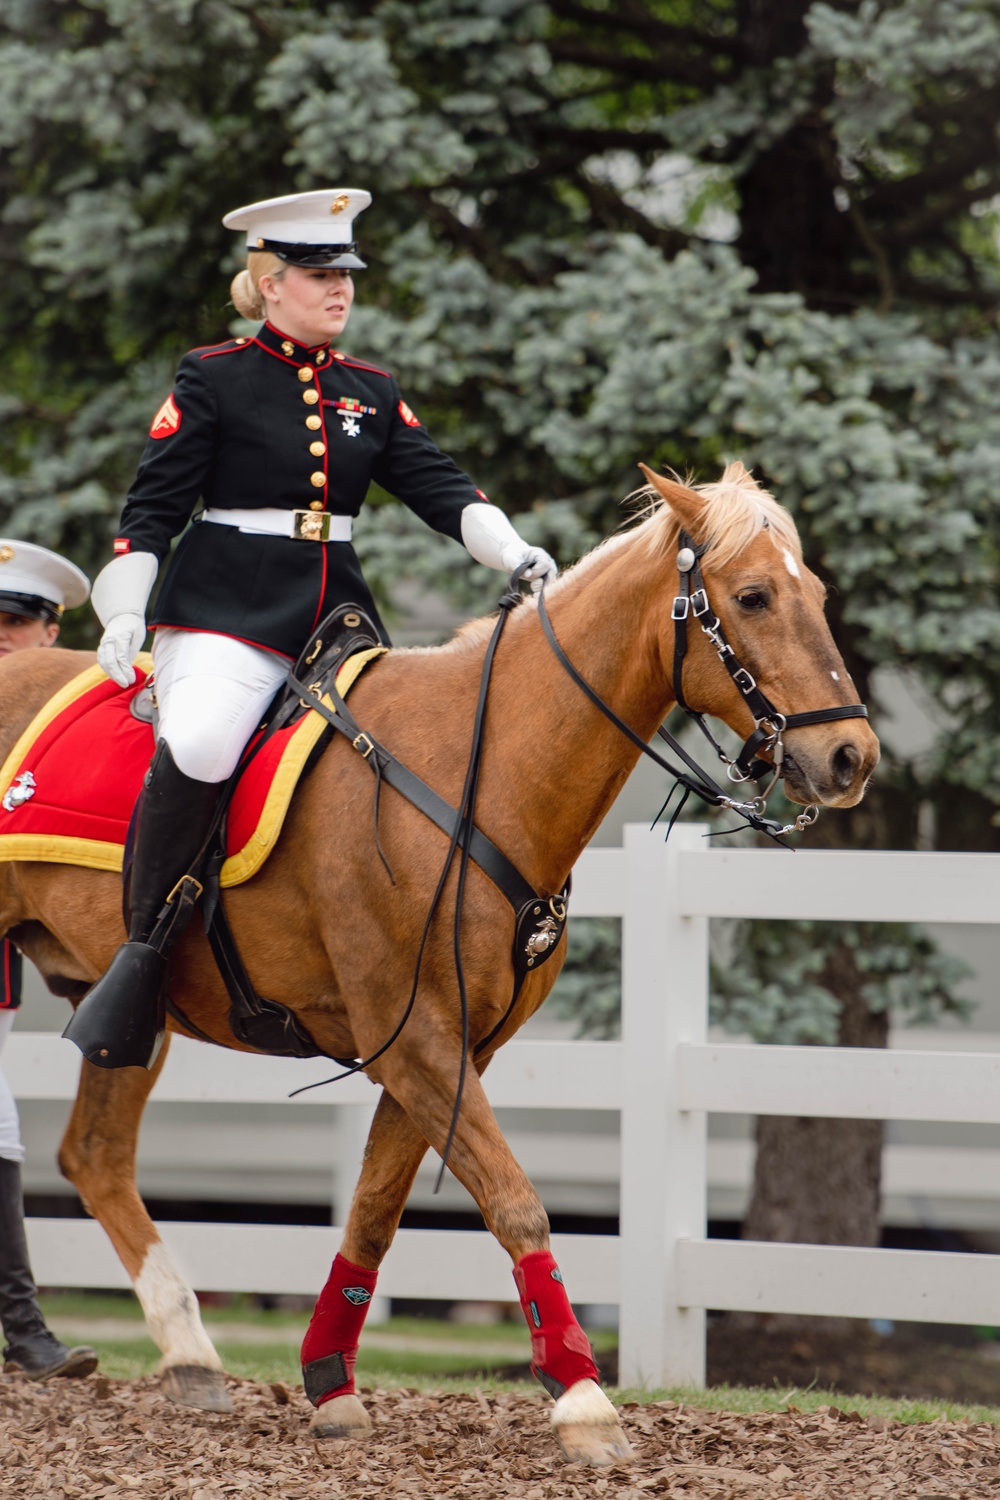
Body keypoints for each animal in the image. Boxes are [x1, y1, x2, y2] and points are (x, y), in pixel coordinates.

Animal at [0, 468, 875, 1464]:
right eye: (755, 596)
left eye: (817, 593)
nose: (850, 757)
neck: (473, 773)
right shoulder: (416, 1038)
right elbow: (514, 1200)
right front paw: (582, 1396)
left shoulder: (443, 1046)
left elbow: (376, 1210)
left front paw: (330, 1380)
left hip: (125, 1014)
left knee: (96, 1156)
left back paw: (187, 1354)